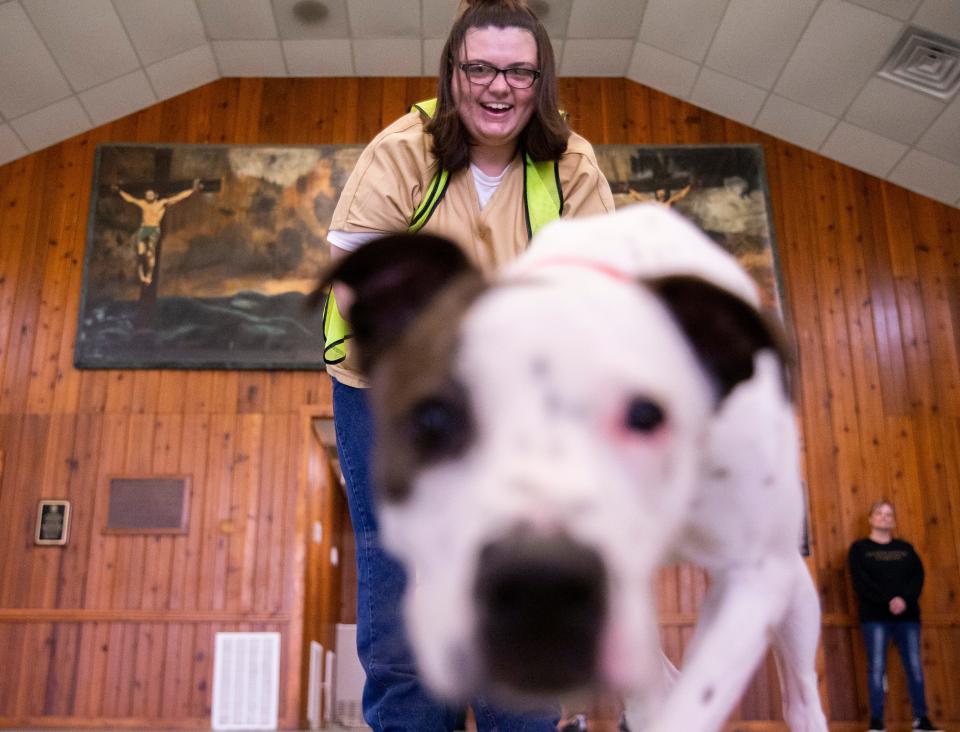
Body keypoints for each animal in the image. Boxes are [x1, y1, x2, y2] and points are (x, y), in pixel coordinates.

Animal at [318, 202, 828, 732]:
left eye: (647, 415)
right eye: (432, 419)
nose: (540, 582)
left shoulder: (753, 576)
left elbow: (695, 700)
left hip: (791, 589)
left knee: (799, 693)